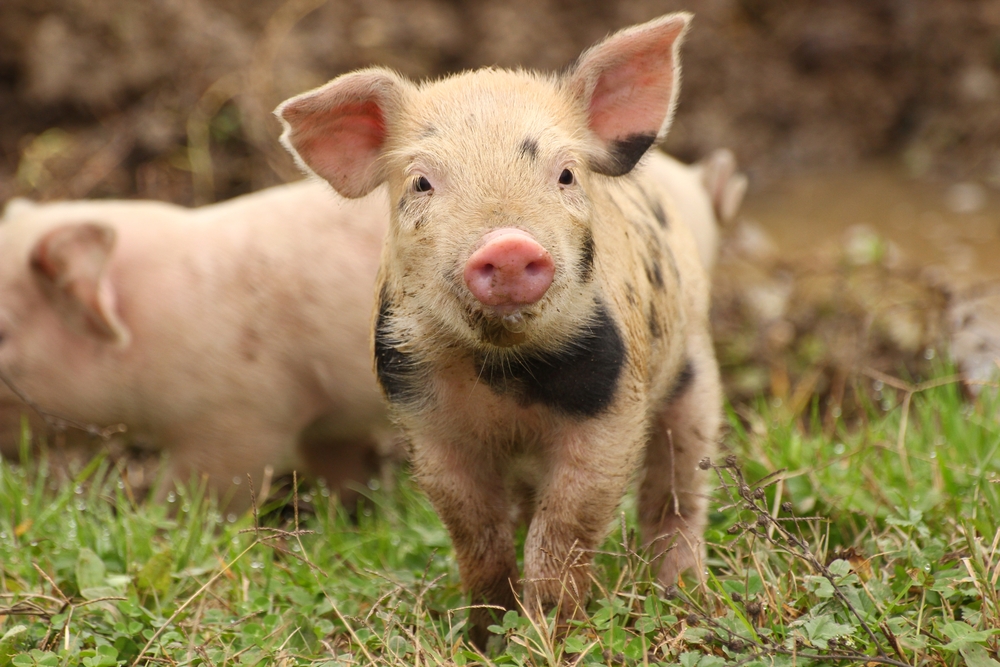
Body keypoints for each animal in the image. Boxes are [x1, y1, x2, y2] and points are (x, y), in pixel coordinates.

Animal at [0, 180, 391, 509]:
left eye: (2, 333)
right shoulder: (328, 425)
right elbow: (341, 468)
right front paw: (351, 510)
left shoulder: (241, 418)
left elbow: (199, 495)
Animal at [277, 12, 721, 644]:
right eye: (421, 183)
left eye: (566, 175)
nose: (508, 244)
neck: (503, 375)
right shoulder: (426, 421)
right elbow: (475, 532)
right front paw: (485, 635)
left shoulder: (612, 409)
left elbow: (563, 531)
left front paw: (548, 635)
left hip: (694, 372)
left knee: (677, 493)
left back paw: (684, 596)